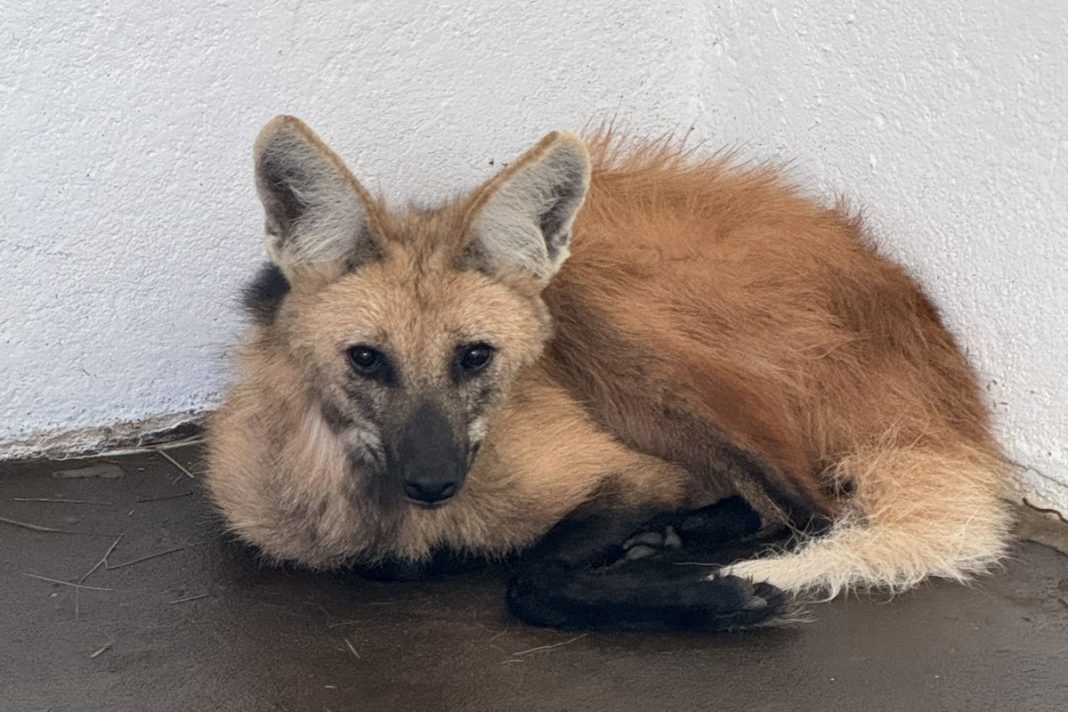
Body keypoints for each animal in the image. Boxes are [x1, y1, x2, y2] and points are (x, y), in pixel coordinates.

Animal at [205, 115, 1013, 632]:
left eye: (475, 356)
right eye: (367, 359)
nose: (433, 482)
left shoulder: (634, 474)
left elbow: (531, 578)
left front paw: (718, 595)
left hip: (624, 331)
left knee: (814, 511)